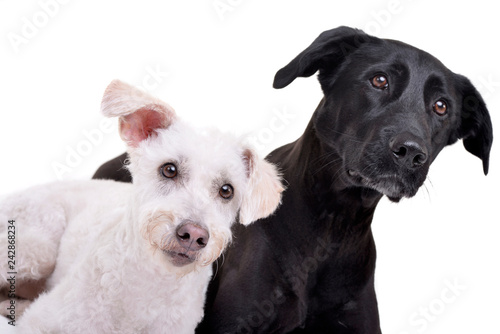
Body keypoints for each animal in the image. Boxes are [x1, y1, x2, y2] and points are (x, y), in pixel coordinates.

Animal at [0, 79, 284, 332]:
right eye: (169, 169)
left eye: (226, 190)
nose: (194, 235)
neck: (152, 283)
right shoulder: (42, 321)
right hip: (37, 249)